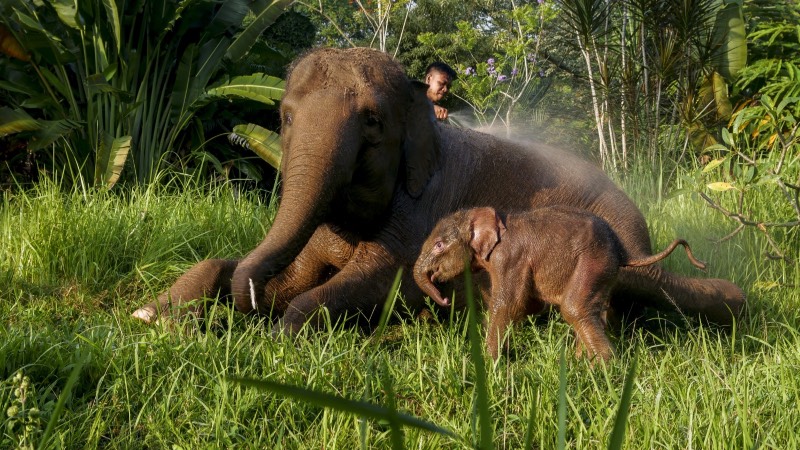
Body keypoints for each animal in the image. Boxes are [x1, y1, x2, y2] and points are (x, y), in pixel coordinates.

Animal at [133, 47, 744, 332]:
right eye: (283, 118)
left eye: (372, 122)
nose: (247, 309)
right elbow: (274, 268)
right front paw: (149, 316)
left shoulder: (422, 211)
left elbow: (384, 282)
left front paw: (281, 329)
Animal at [412, 206, 708, 360]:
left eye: (439, 245)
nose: (444, 299)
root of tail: (622, 250)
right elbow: (525, 306)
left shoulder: (510, 258)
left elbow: (508, 304)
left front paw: (489, 362)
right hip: (603, 272)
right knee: (593, 310)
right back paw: (581, 362)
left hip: (592, 263)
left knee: (574, 307)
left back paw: (604, 368)